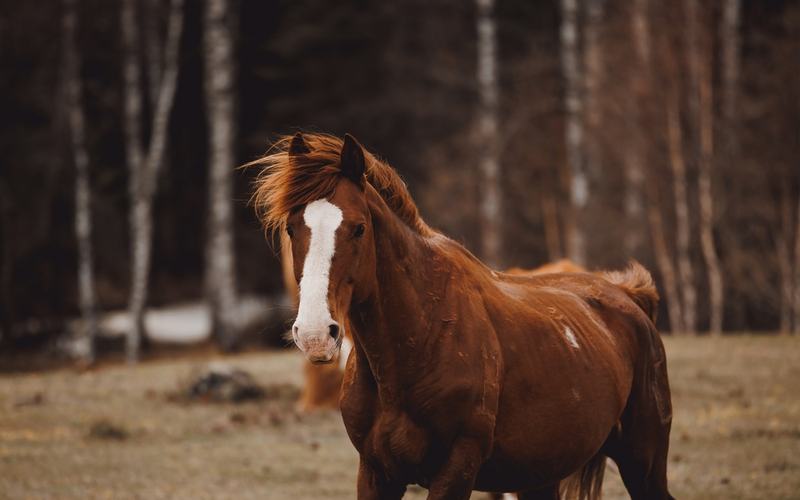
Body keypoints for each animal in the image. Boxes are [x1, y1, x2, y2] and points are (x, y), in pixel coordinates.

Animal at [252, 132, 674, 499]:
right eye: (292, 228)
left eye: (358, 228)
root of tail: (629, 296)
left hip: (643, 462)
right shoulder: (375, 472)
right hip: (541, 477)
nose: (315, 335)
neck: (421, 339)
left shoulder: (457, 467)